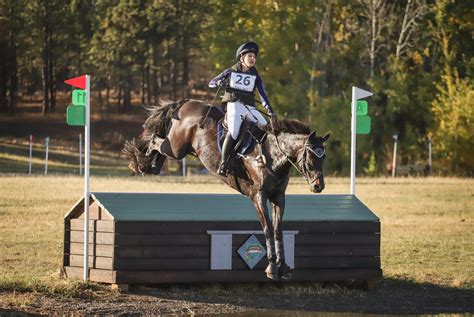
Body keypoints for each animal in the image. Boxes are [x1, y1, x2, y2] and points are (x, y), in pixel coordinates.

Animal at [123, 99, 330, 278]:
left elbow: (278, 229)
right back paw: (142, 162)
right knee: (155, 141)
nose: (318, 186)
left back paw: (151, 165)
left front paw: (283, 267)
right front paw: (272, 267)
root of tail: (186, 102)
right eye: (311, 157)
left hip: (178, 148)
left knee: (159, 146)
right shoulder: (258, 196)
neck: (270, 155)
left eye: (324, 158)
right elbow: (268, 229)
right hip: (176, 147)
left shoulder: (278, 197)